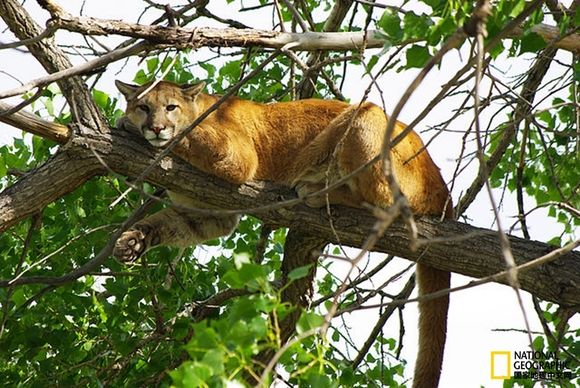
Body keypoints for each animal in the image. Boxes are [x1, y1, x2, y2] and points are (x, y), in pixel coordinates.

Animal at [114, 79, 454, 388]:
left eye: (170, 107)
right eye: (144, 107)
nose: (155, 127)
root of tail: (441, 186)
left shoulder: (235, 156)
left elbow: (187, 135)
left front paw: (131, 127)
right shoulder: (206, 213)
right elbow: (166, 224)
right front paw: (132, 242)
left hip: (365, 117)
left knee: (387, 202)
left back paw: (315, 189)